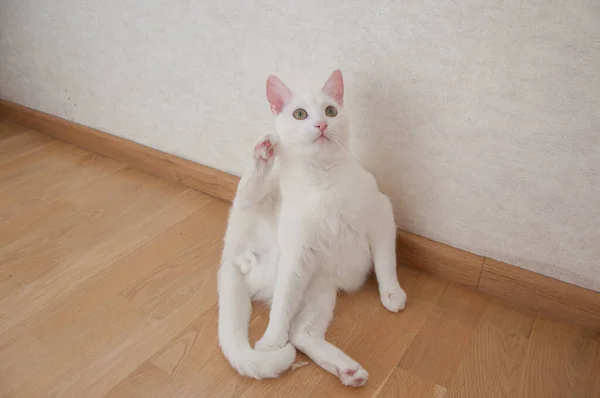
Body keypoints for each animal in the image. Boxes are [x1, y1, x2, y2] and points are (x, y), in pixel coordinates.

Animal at [217, 70, 408, 388]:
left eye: (331, 111)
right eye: (300, 114)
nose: (321, 124)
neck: (323, 178)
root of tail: (230, 254)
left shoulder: (381, 216)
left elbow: (385, 264)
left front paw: (392, 294)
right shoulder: (297, 252)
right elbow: (282, 304)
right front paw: (271, 341)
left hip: (320, 291)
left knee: (301, 334)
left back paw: (348, 371)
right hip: (269, 229)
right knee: (245, 196)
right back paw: (263, 153)